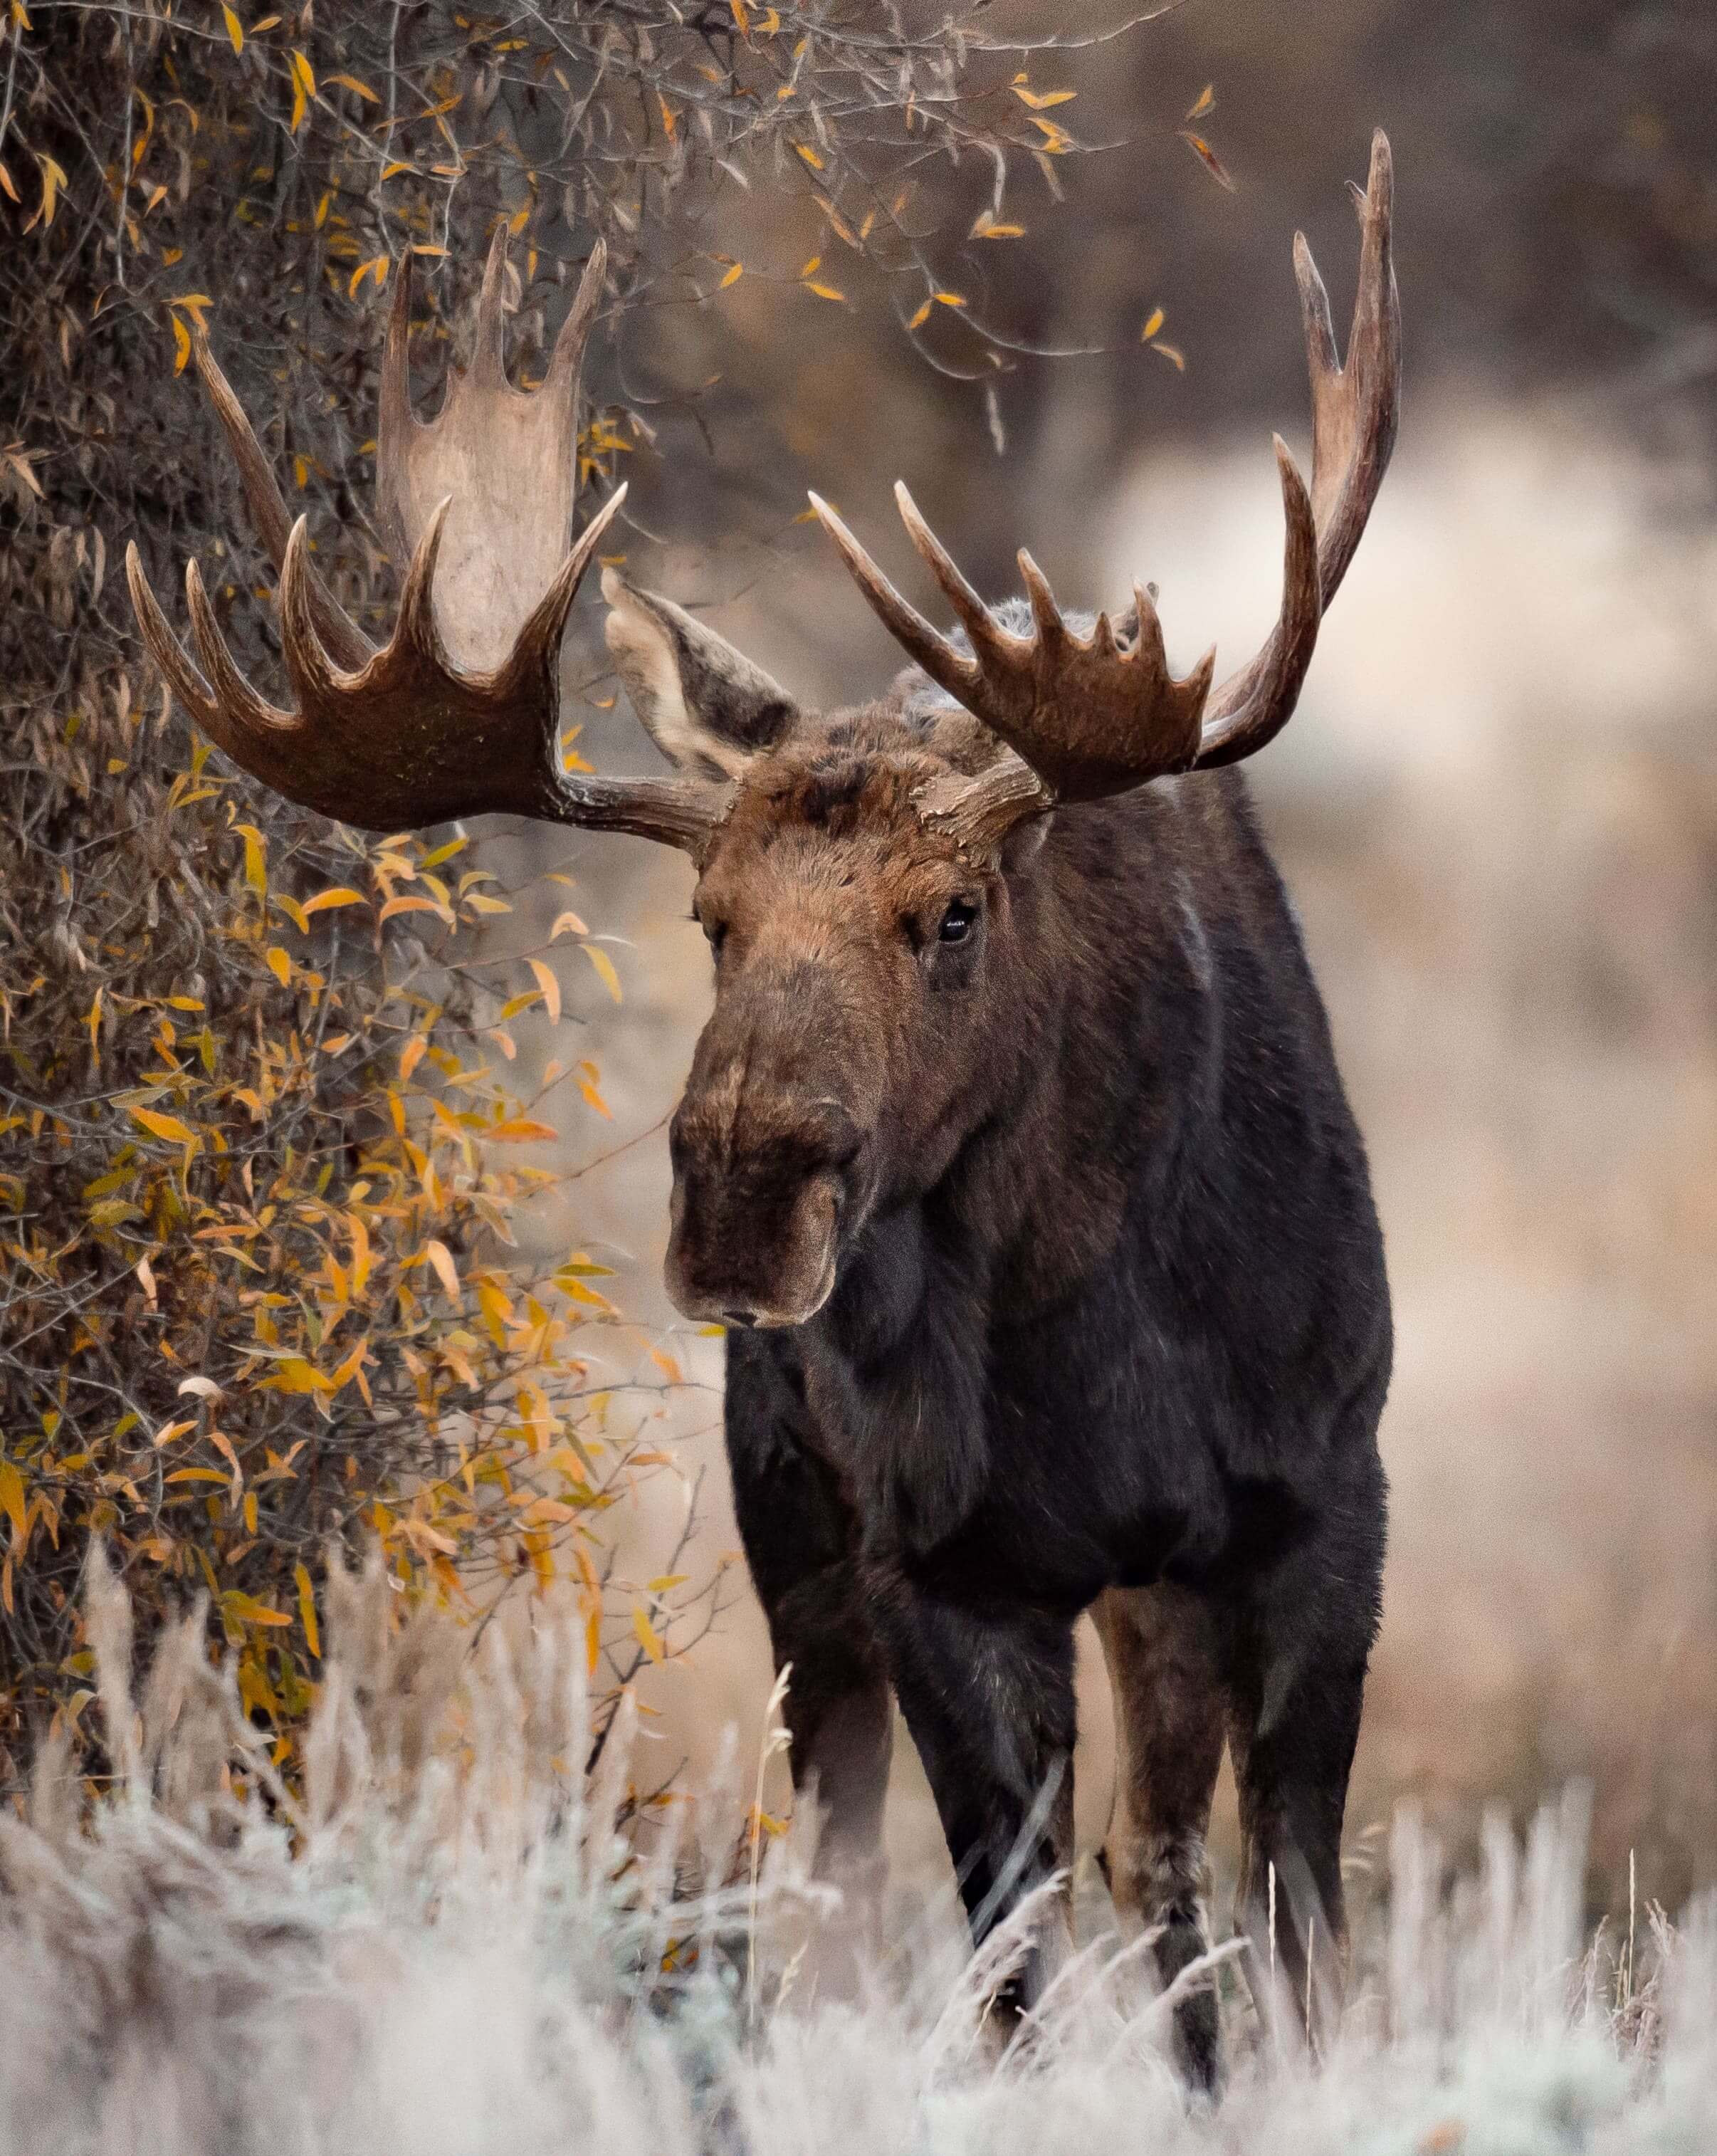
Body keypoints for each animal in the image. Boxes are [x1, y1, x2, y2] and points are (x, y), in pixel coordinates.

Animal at [127, 135, 1396, 2087]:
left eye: (953, 911)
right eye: (711, 918)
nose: (740, 1192)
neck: (1110, 1326)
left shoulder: (1327, 1499)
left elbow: (1297, 1918)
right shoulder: (934, 1559)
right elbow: (1008, 1950)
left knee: (1170, 1862)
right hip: (796, 1532)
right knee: (871, 1861)